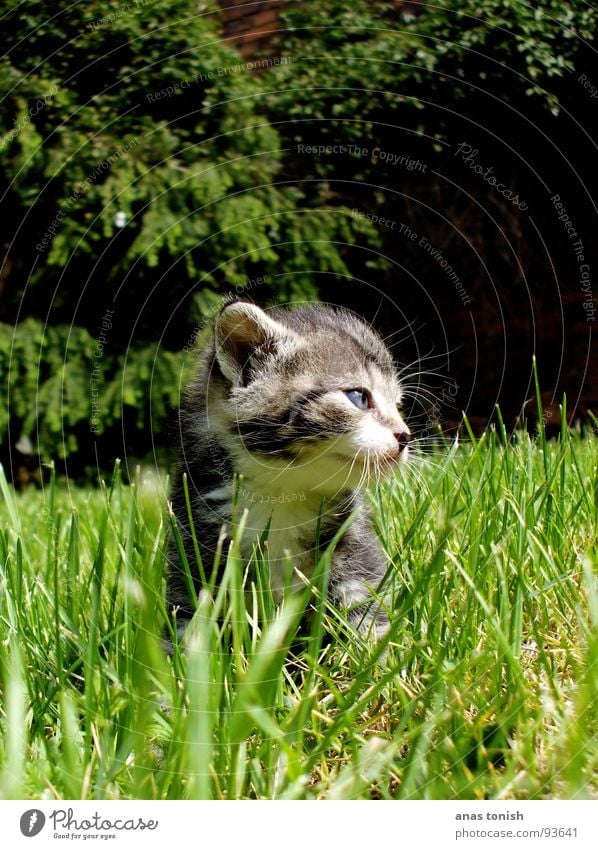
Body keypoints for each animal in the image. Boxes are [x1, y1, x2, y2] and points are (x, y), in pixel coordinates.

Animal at [169, 298, 412, 636]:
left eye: (398, 404)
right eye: (358, 397)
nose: (405, 436)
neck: (283, 492)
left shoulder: (356, 547)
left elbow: (365, 612)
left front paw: (375, 649)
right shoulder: (193, 542)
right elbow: (187, 621)